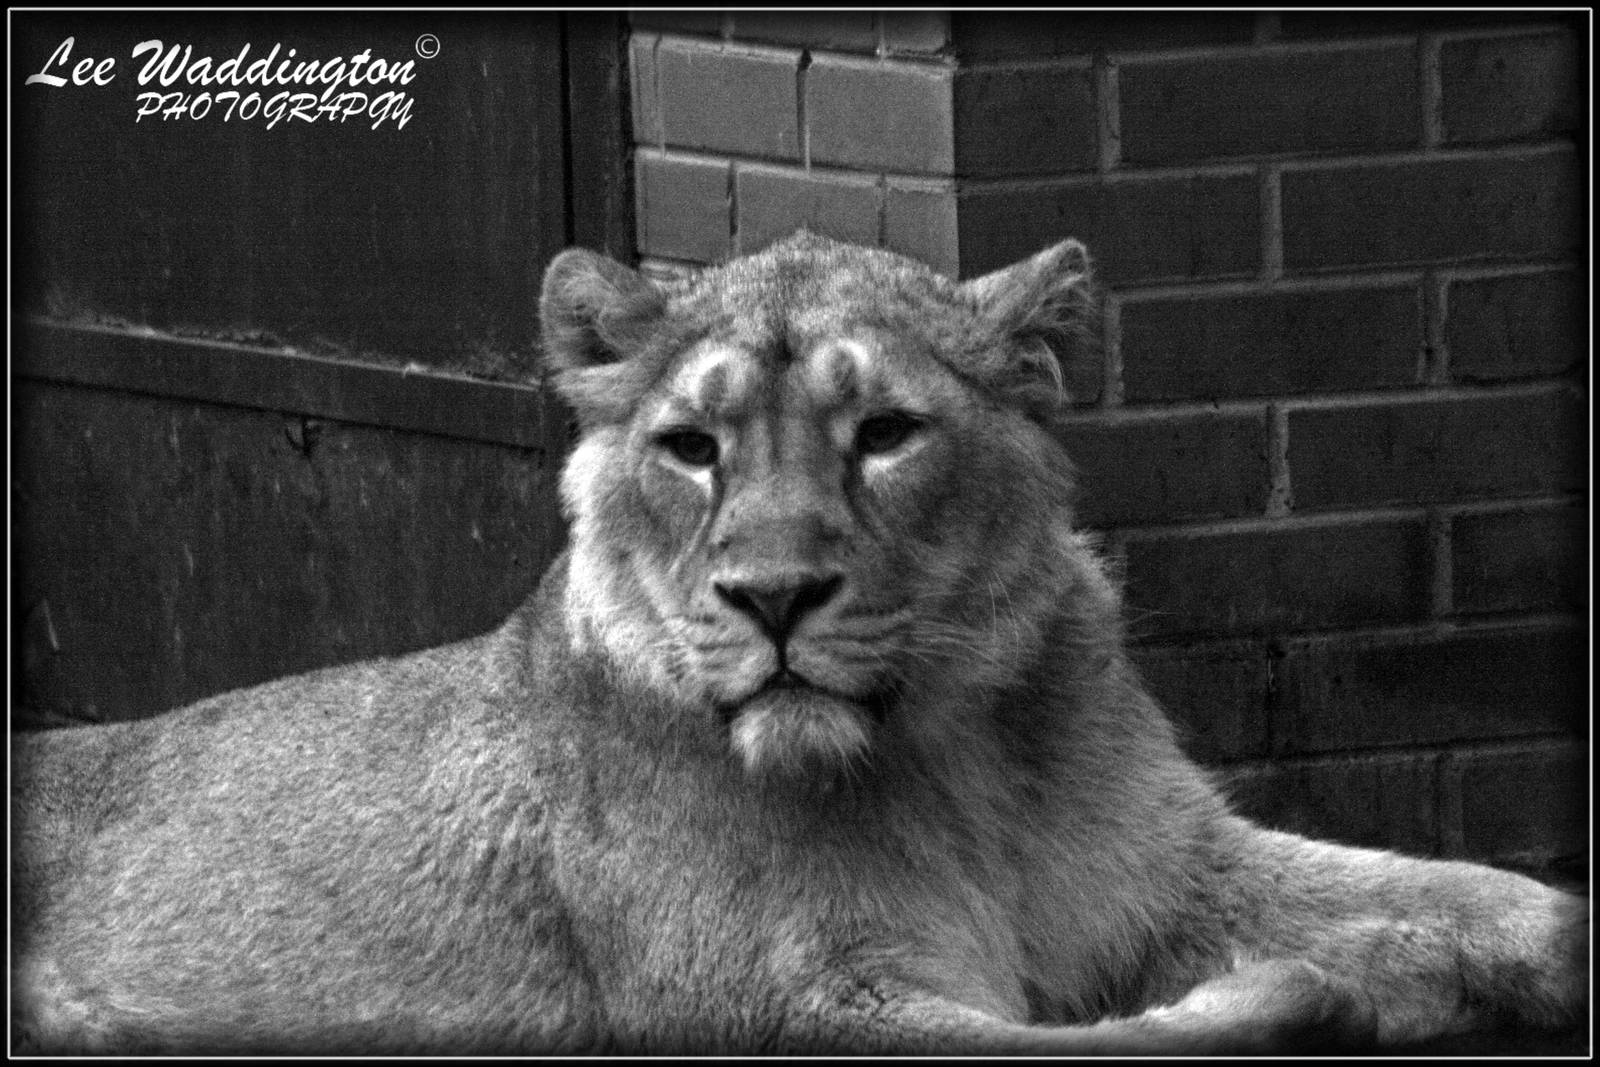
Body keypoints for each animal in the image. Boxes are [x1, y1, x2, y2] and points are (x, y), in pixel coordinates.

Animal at [10, 232, 1587, 1054]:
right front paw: (1361, 982)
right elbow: (1143, 1033)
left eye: (883, 431)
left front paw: (1452, 945)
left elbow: (1480, 889)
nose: (772, 596)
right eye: (691, 447)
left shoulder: (1171, 864)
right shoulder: (776, 1006)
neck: (961, 758)